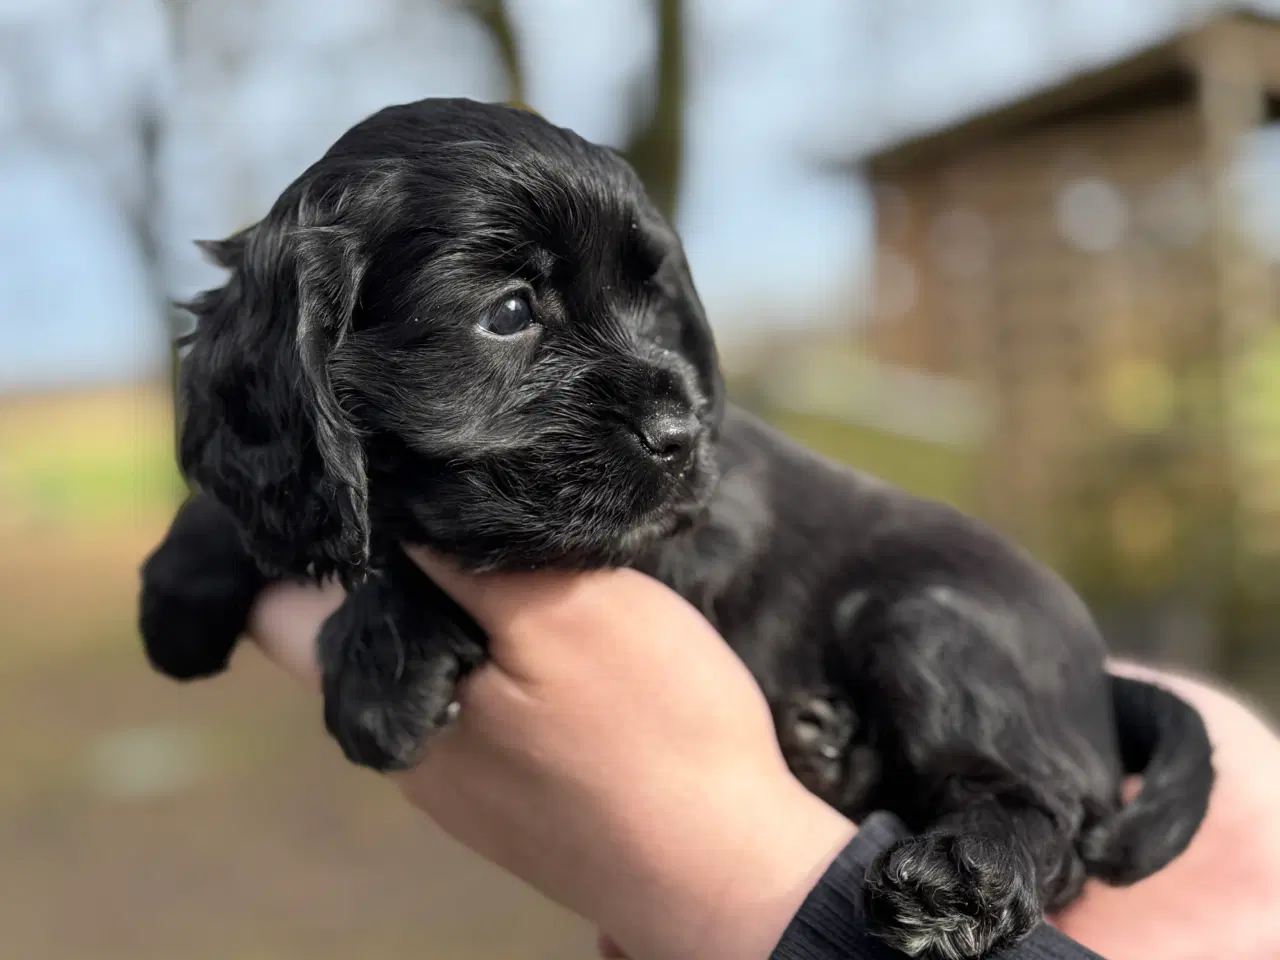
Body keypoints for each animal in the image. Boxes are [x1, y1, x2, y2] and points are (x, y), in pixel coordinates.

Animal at [140, 99, 1208, 960]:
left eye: (653, 303)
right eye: (509, 311)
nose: (682, 433)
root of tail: (1101, 679)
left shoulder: (669, 542)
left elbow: (438, 553)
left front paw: (379, 660)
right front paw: (182, 589)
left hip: (930, 622)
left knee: (1051, 813)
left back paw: (957, 878)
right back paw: (828, 747)